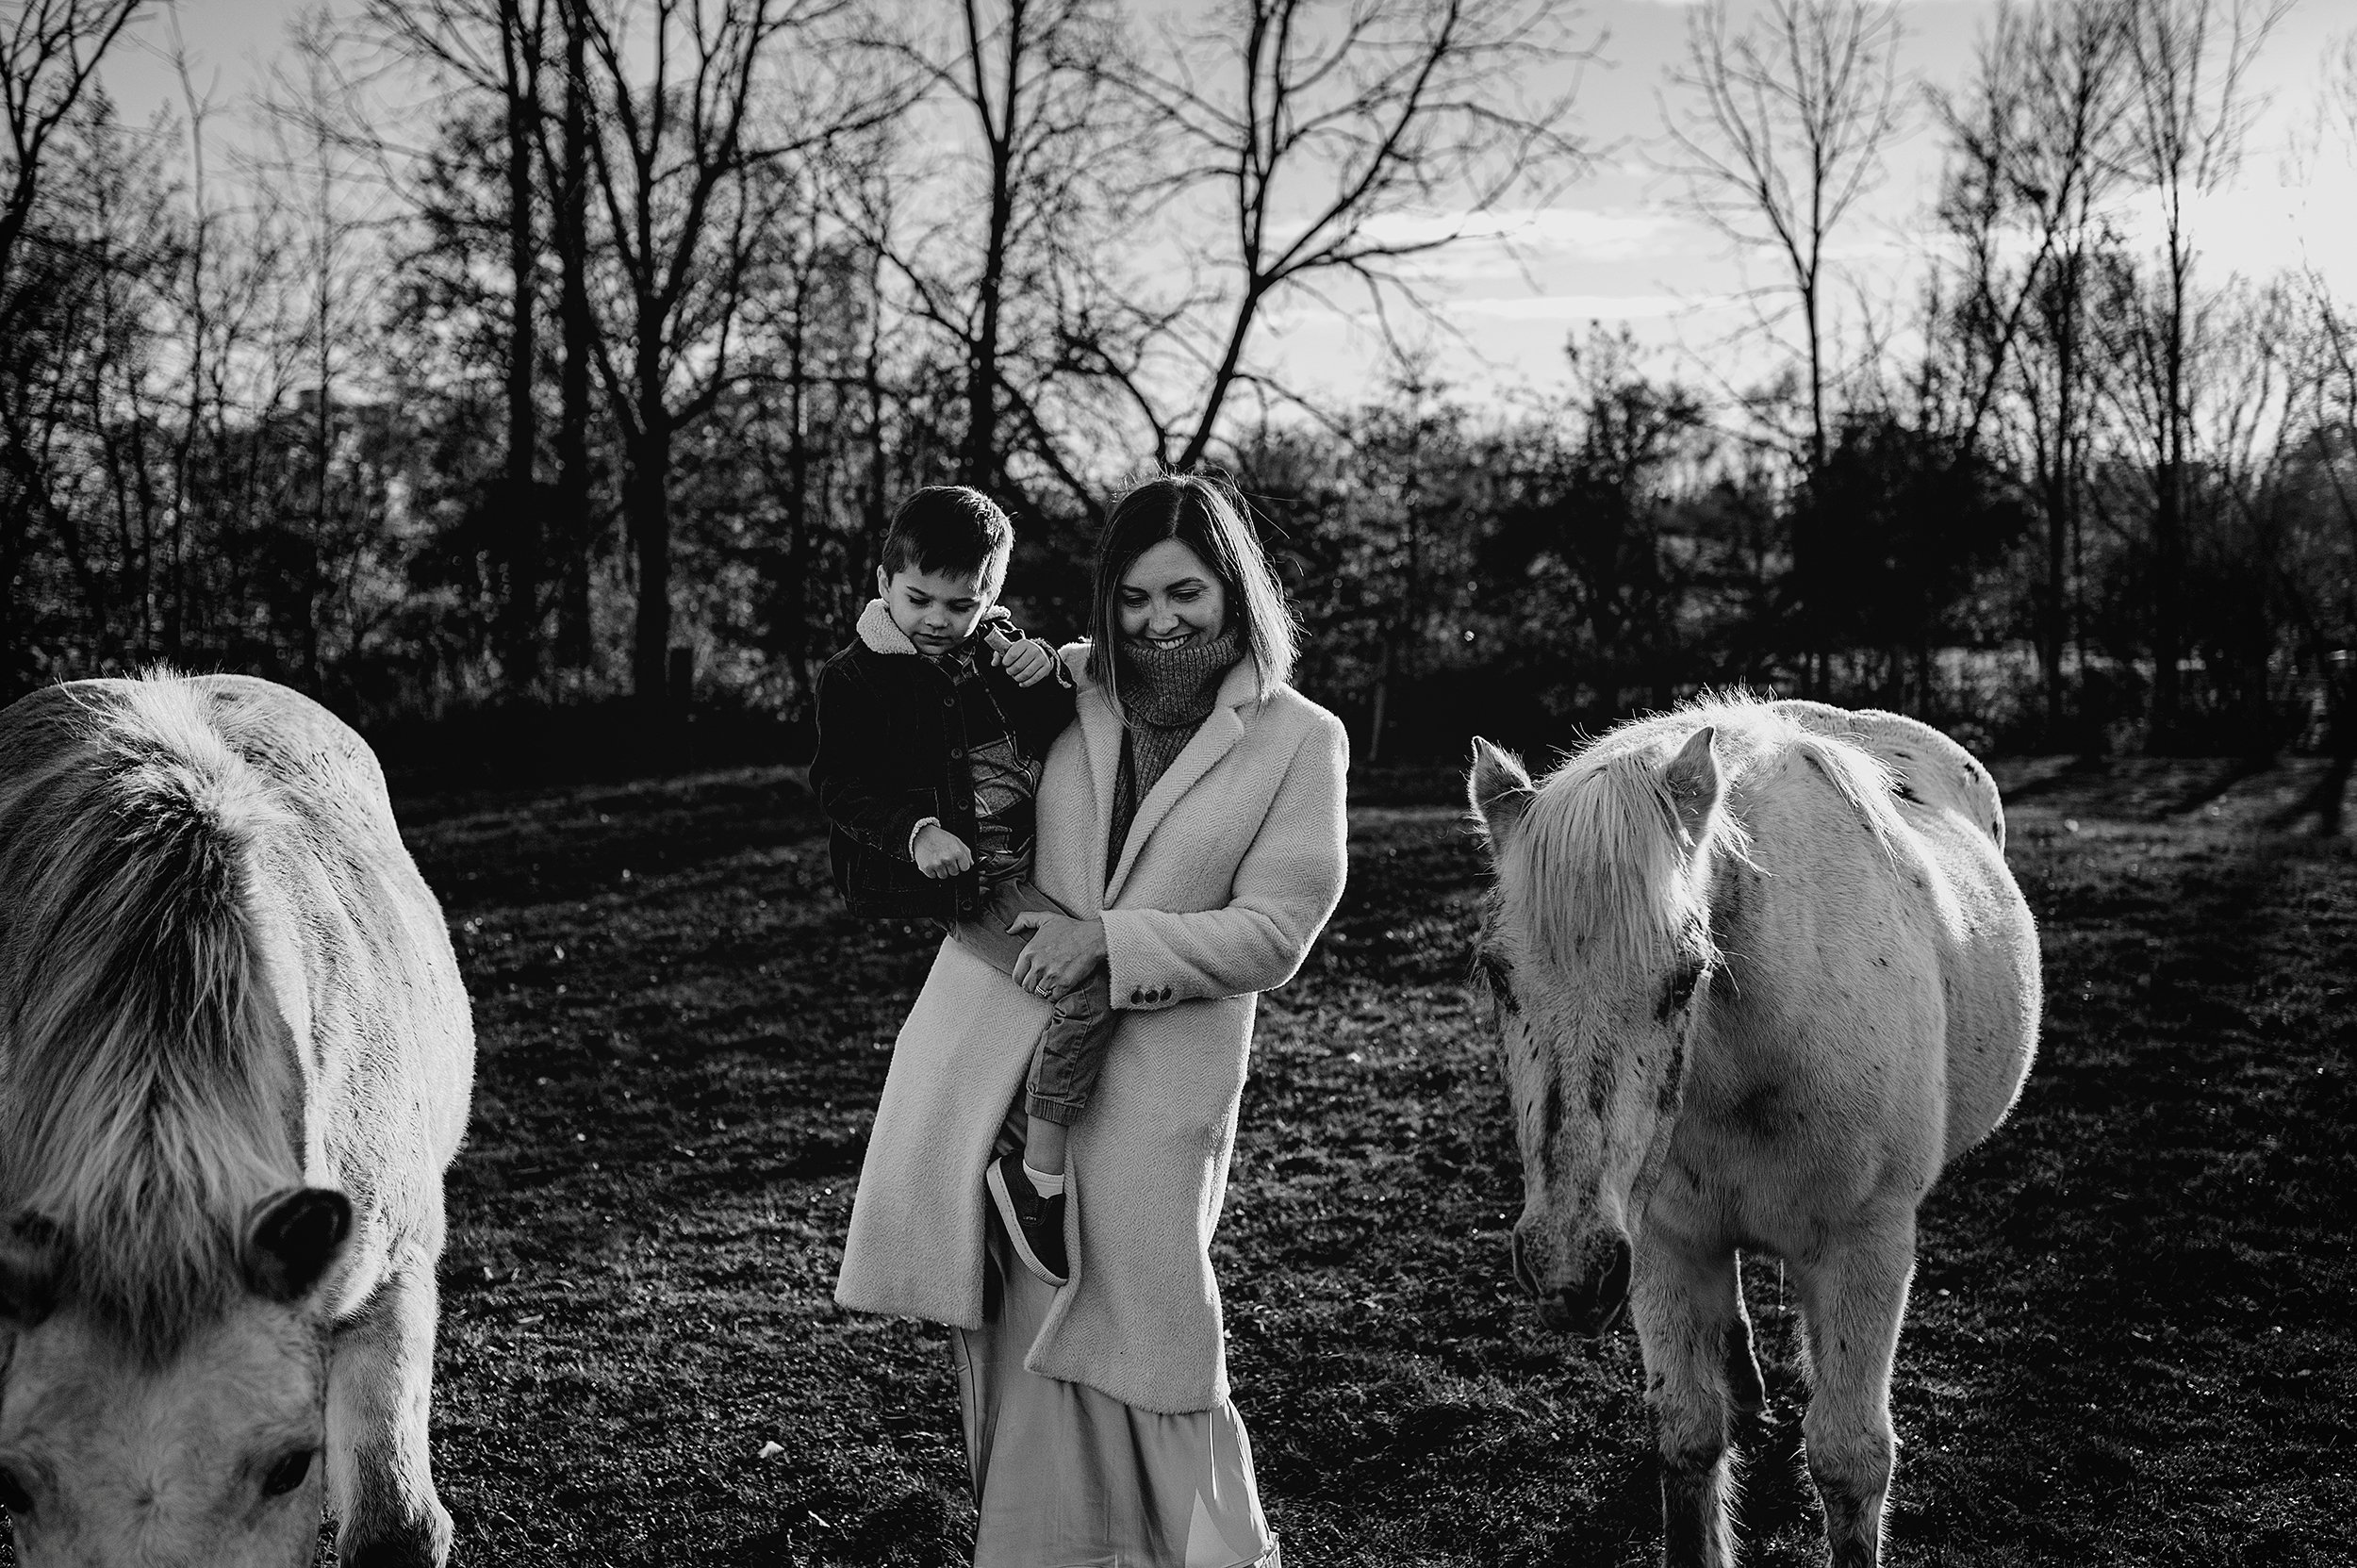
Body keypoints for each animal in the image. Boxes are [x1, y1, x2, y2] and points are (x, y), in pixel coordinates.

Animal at [1471, 698, 2046, 1565]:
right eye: (1498, 973)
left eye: (1686, 975)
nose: (1567, 1268)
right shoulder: (1661, 1240)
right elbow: (1686, 1436)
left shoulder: (1865, 1246)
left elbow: (1848, 1458)